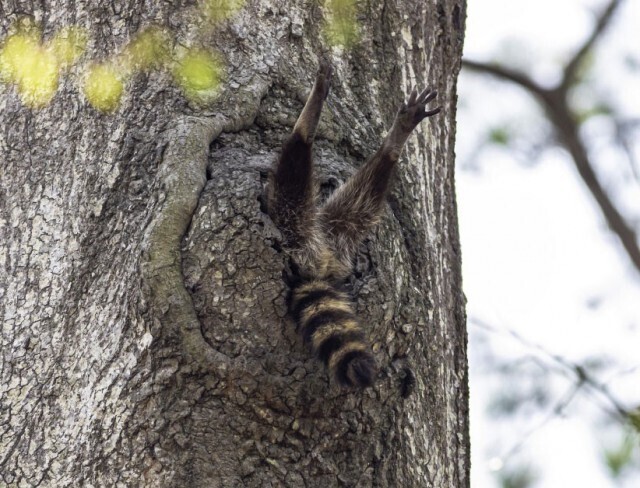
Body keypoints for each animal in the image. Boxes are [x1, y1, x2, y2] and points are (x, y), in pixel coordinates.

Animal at [266, 62, 440, 388]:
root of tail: (317, 264)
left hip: (295, 223)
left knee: (292, 175)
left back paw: (306, 126)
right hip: (338, 231)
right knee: (364, 198)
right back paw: (393, 145)